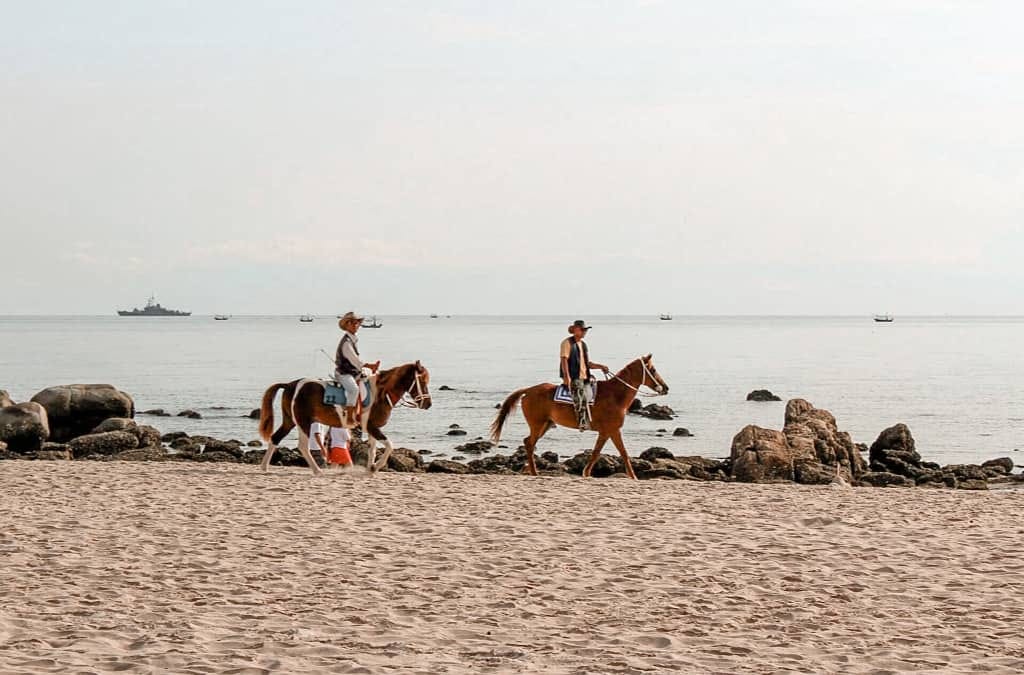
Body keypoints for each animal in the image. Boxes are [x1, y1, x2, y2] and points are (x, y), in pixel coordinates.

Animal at [260, 358, 432, 475]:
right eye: (423, 381)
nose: (428, 404)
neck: (380, 394)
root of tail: (290, 384)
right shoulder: (372, 427)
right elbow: (389, 445)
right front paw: (376, 466)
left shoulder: (372, 428)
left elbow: (372, 450)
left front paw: (370, 469)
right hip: (304, 423)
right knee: (303, 446)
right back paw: (317, 470)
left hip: (290, 421)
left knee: (275, 438)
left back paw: (264, 467)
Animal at [489, 354, 667, 481]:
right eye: (652, 370)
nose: (665, 388)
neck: (615, 395)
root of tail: (528, 390)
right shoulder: (613, 430)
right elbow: (623, 453)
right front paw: (634, 476)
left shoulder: (605, 432)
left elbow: (596, 452)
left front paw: (586, 473)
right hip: (538, 424)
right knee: (529, 443)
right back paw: (534, 472)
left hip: (545, 424)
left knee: (528, 442)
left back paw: (530, 470)